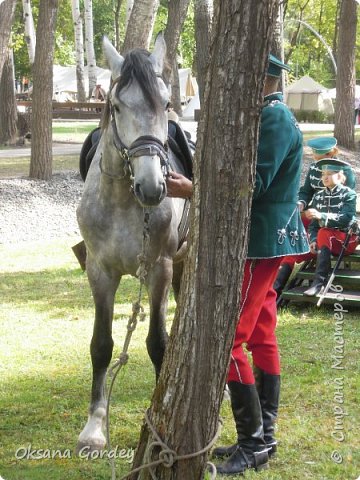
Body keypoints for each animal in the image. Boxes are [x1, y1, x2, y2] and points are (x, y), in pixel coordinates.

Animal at [76, 35, 188, 452]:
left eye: (166, 104)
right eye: (117, 106)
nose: (153, 186)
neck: (124, 200)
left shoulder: (159, 269)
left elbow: (158, 342)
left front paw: (157, 415)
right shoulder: (100, 273)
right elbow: (101, 345)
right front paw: (95, 425)